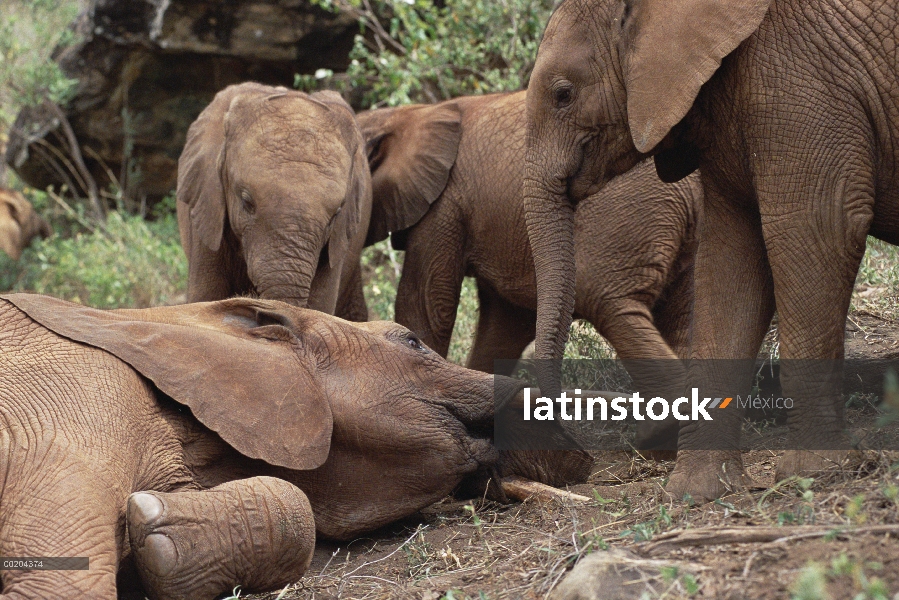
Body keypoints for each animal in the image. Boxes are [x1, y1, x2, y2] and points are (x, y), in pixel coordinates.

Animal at [356, 91, 704, 450]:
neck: (407, 114)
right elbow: (504, 325)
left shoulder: (443, 207)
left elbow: (425, 306)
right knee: (679, 312)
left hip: (627, 211)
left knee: (609, 301)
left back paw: (657, 434)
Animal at [520, 0, 899, 502]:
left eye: (563, 94)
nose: (578, 461)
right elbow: (731, 259)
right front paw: (694, 493)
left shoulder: (803, 79)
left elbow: (821, 222)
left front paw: (815, 474)